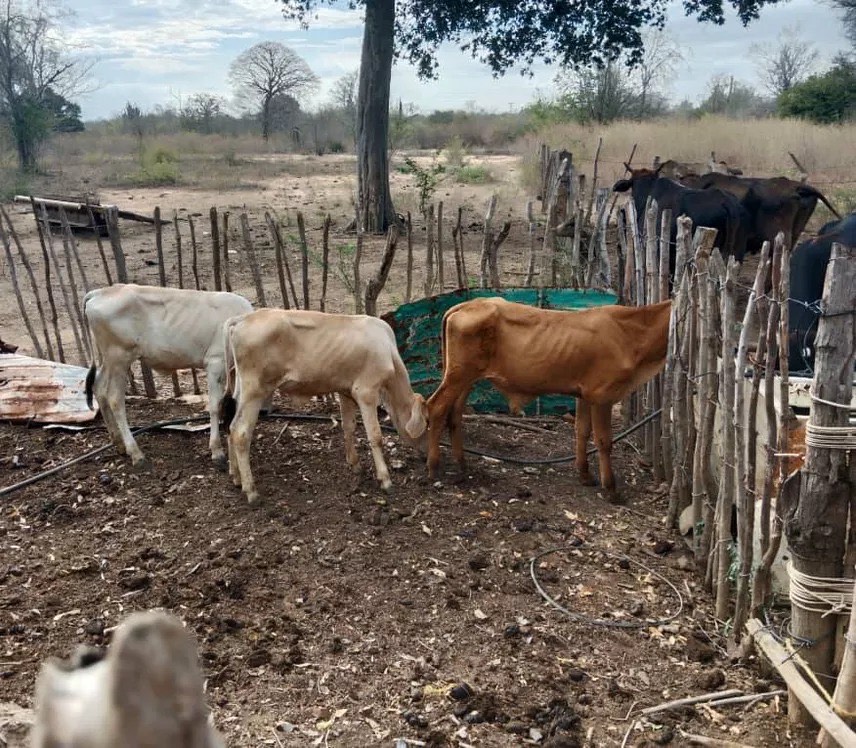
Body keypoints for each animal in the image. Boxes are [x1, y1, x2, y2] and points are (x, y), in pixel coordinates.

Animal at [83, 284, 253, 470]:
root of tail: (100, 292)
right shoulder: (216, 362)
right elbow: (215, 405)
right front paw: (217, 451)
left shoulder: (233, 369)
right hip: (119, 358)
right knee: (114, 398)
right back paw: (136, 453)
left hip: (109, 360)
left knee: (99, 388)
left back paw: (119, 444)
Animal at [220, 309, 428, 504]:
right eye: (427, 424)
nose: (426, 455)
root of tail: (243, 318)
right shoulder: (366, 392)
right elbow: (375, 436)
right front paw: (385, 479)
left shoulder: (345, 391)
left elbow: (349, 426)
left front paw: (354, 464)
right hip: (254, 392)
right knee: (240, 432)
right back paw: (251, 491)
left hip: (240, 391)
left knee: (231, 426)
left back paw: (236, 477)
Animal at [423, 297, 672, 503]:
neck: (631, 333)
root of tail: (466, 304)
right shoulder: (603, 396)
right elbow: (604, 441)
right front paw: (611, 489)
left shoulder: (585, 395)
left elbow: (582, 430)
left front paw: (585, 474)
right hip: (458, 375)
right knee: (436, 408)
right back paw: (433, 467)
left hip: (466, 378)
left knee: (454, 414)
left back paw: (462, 464)